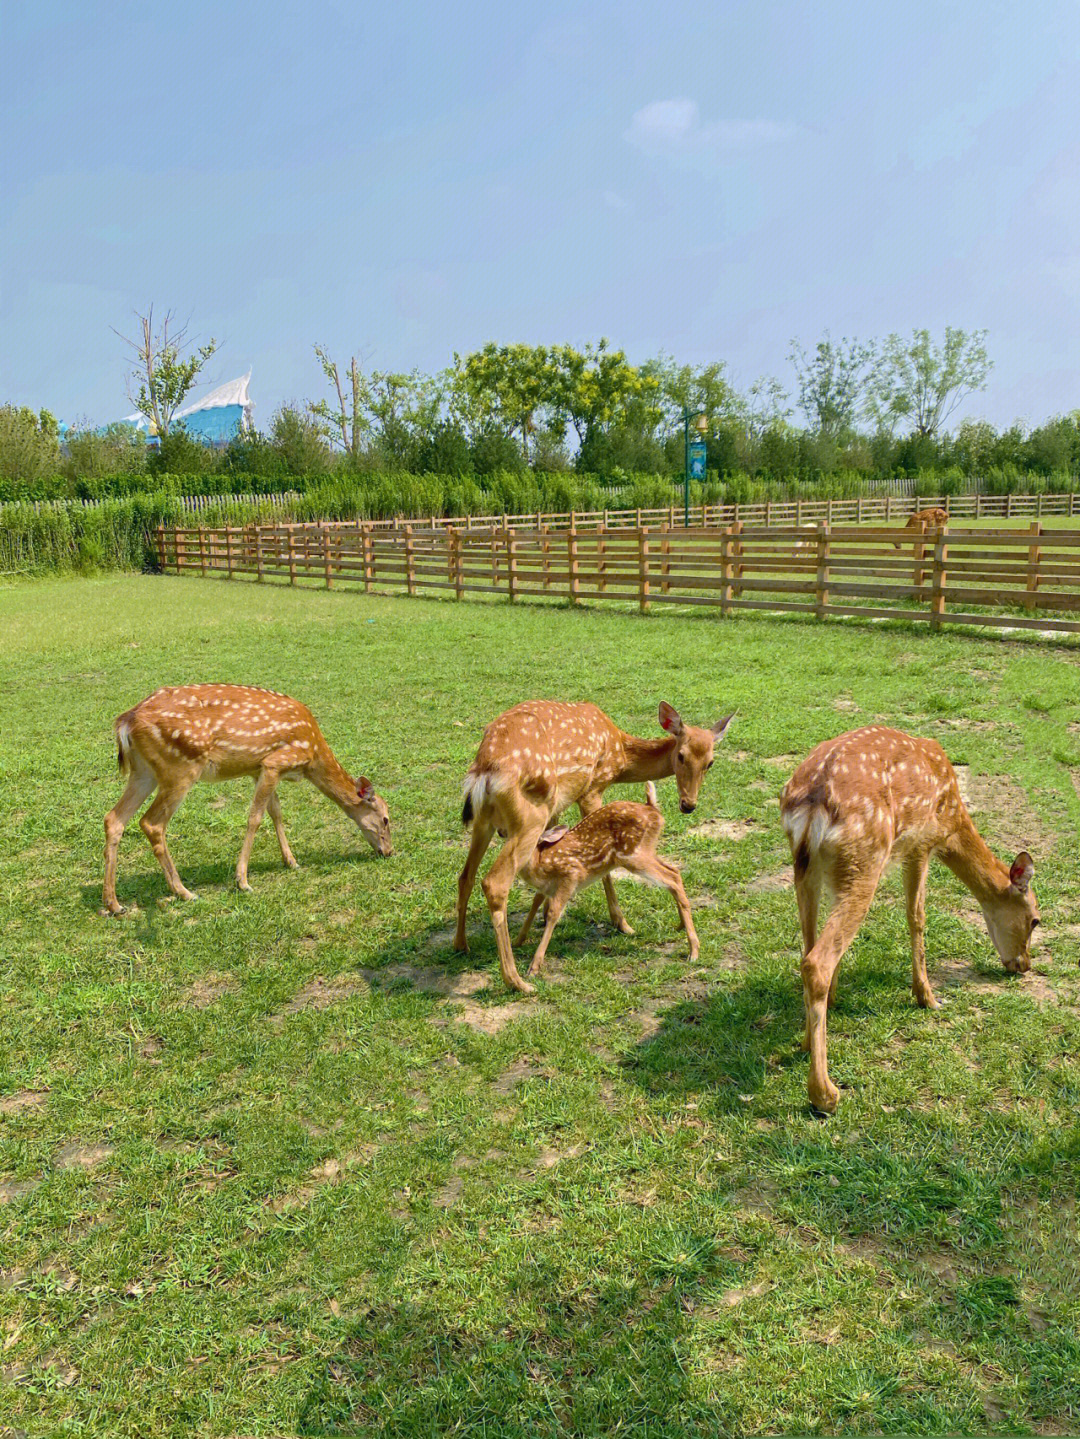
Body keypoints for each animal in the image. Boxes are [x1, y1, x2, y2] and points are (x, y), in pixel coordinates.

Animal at [102, 682, 394, 909]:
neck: (312, 756)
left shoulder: (259, 768)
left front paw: (291, 861)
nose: (389, 851)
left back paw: (113, 904)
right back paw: (183, 892)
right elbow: (255, 817)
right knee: (152, 823)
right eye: (385, 818)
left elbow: (276, 812)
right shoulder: (277, 761)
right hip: (180, 768)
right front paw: (242, 881)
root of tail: (126, 722)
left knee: (114, 818)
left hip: (144, 771)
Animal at [514, 782, 701, 984]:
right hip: (647, 851)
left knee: (672, 879)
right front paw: (517, 941)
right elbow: (534, 905)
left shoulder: (570, 875)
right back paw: (680, 926)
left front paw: (534, 967)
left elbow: (553, 913)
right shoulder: (546, 888)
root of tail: (652, 808)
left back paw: (693, 951)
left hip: (633, 855)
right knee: (675, 871)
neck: (540, 862)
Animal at [782, 731, 1041, 1110]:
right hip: (866, 859)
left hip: (805, 867)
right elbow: (916, 916)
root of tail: (812, 803)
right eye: (1035, 920)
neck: (953, 818)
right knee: (817, 962)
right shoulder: (922, 841)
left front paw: (835, 1001)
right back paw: (824, 1094)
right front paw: (927, 997)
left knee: (807, 950)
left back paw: (804, 1042)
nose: (1023, 964)